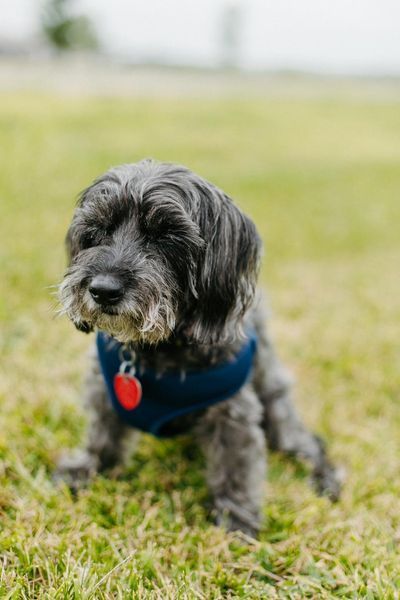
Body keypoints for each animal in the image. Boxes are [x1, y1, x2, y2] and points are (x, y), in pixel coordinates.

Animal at [55, 158, 340, 536]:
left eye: (165, 235)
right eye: (98, 230)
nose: (103, 290)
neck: (159, 348)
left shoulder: (234, 413)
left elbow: (236, 468)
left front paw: (236, 519)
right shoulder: (103, 389)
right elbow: (102, 434)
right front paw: (86, 469)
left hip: (276, 405)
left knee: (307, 444)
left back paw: (326, 478)